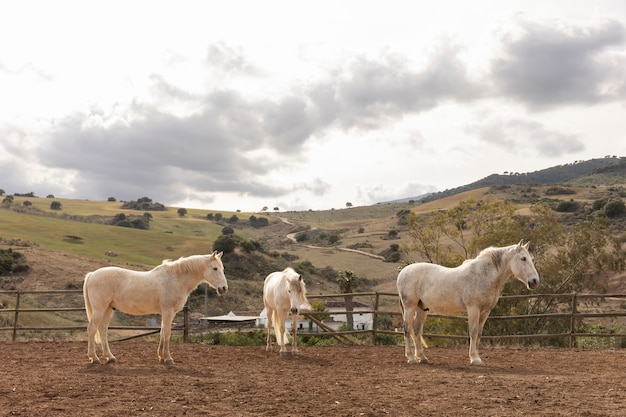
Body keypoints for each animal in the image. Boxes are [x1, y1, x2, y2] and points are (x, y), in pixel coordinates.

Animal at [83, 250, 227, 364]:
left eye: (222, 268)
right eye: (215, 268)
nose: (224, 288)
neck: (176, 279)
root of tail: (92, 274)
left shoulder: (167, 312)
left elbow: (162, 332)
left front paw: (161, 356)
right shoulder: (168, 311)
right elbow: (167, 333)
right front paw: (168, 358)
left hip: (107, 309)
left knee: (102, 330)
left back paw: (110, 357)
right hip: (99, 309)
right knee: (92, 329)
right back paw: (94, 358)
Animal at [398, 240, 540, 364]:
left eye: (531, 259)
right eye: (523, 258)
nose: (534, 281)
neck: (483, 276)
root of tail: (403, 271)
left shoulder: (485, 311)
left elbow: (479, 334)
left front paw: (477, 357)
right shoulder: (473, 309)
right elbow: (473, 332)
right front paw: (475, 359)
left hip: (421, 308)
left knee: (417, 329)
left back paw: (422, 358)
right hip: (410, 306)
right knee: (407, 329)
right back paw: (411, 358)